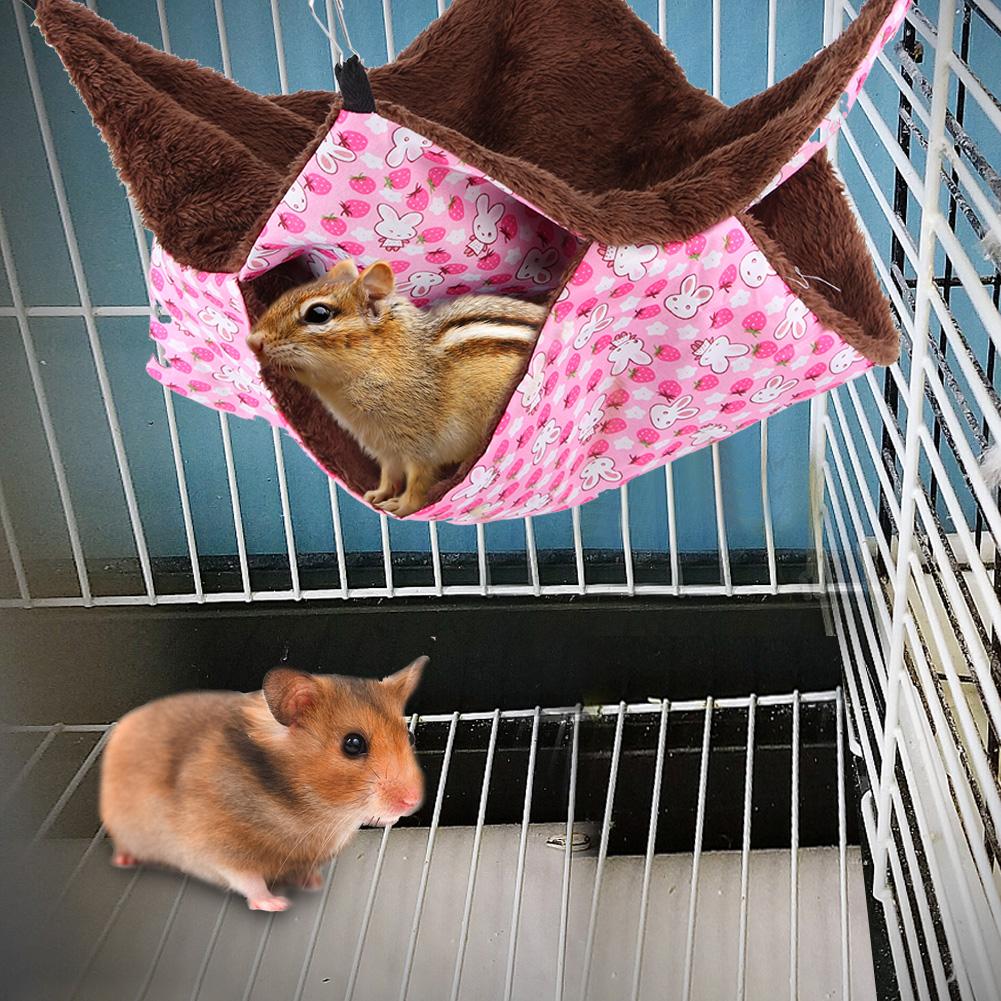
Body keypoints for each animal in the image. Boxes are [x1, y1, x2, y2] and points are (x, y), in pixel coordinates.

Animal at [99, 657, 427, 912]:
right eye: (353, 744)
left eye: (409, 736)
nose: (412, 801)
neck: (316, 812)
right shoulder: (218, 847)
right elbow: (248, 879)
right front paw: (277, 904)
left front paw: (313, 884)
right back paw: (124, 861)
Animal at [247, 259, 547, 517]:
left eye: (318, 313)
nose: (252, 341)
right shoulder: (385, 448)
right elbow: (389, 475)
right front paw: (378, 495)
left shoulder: (421, 447)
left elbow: (417, 482)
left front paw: (403, 506)